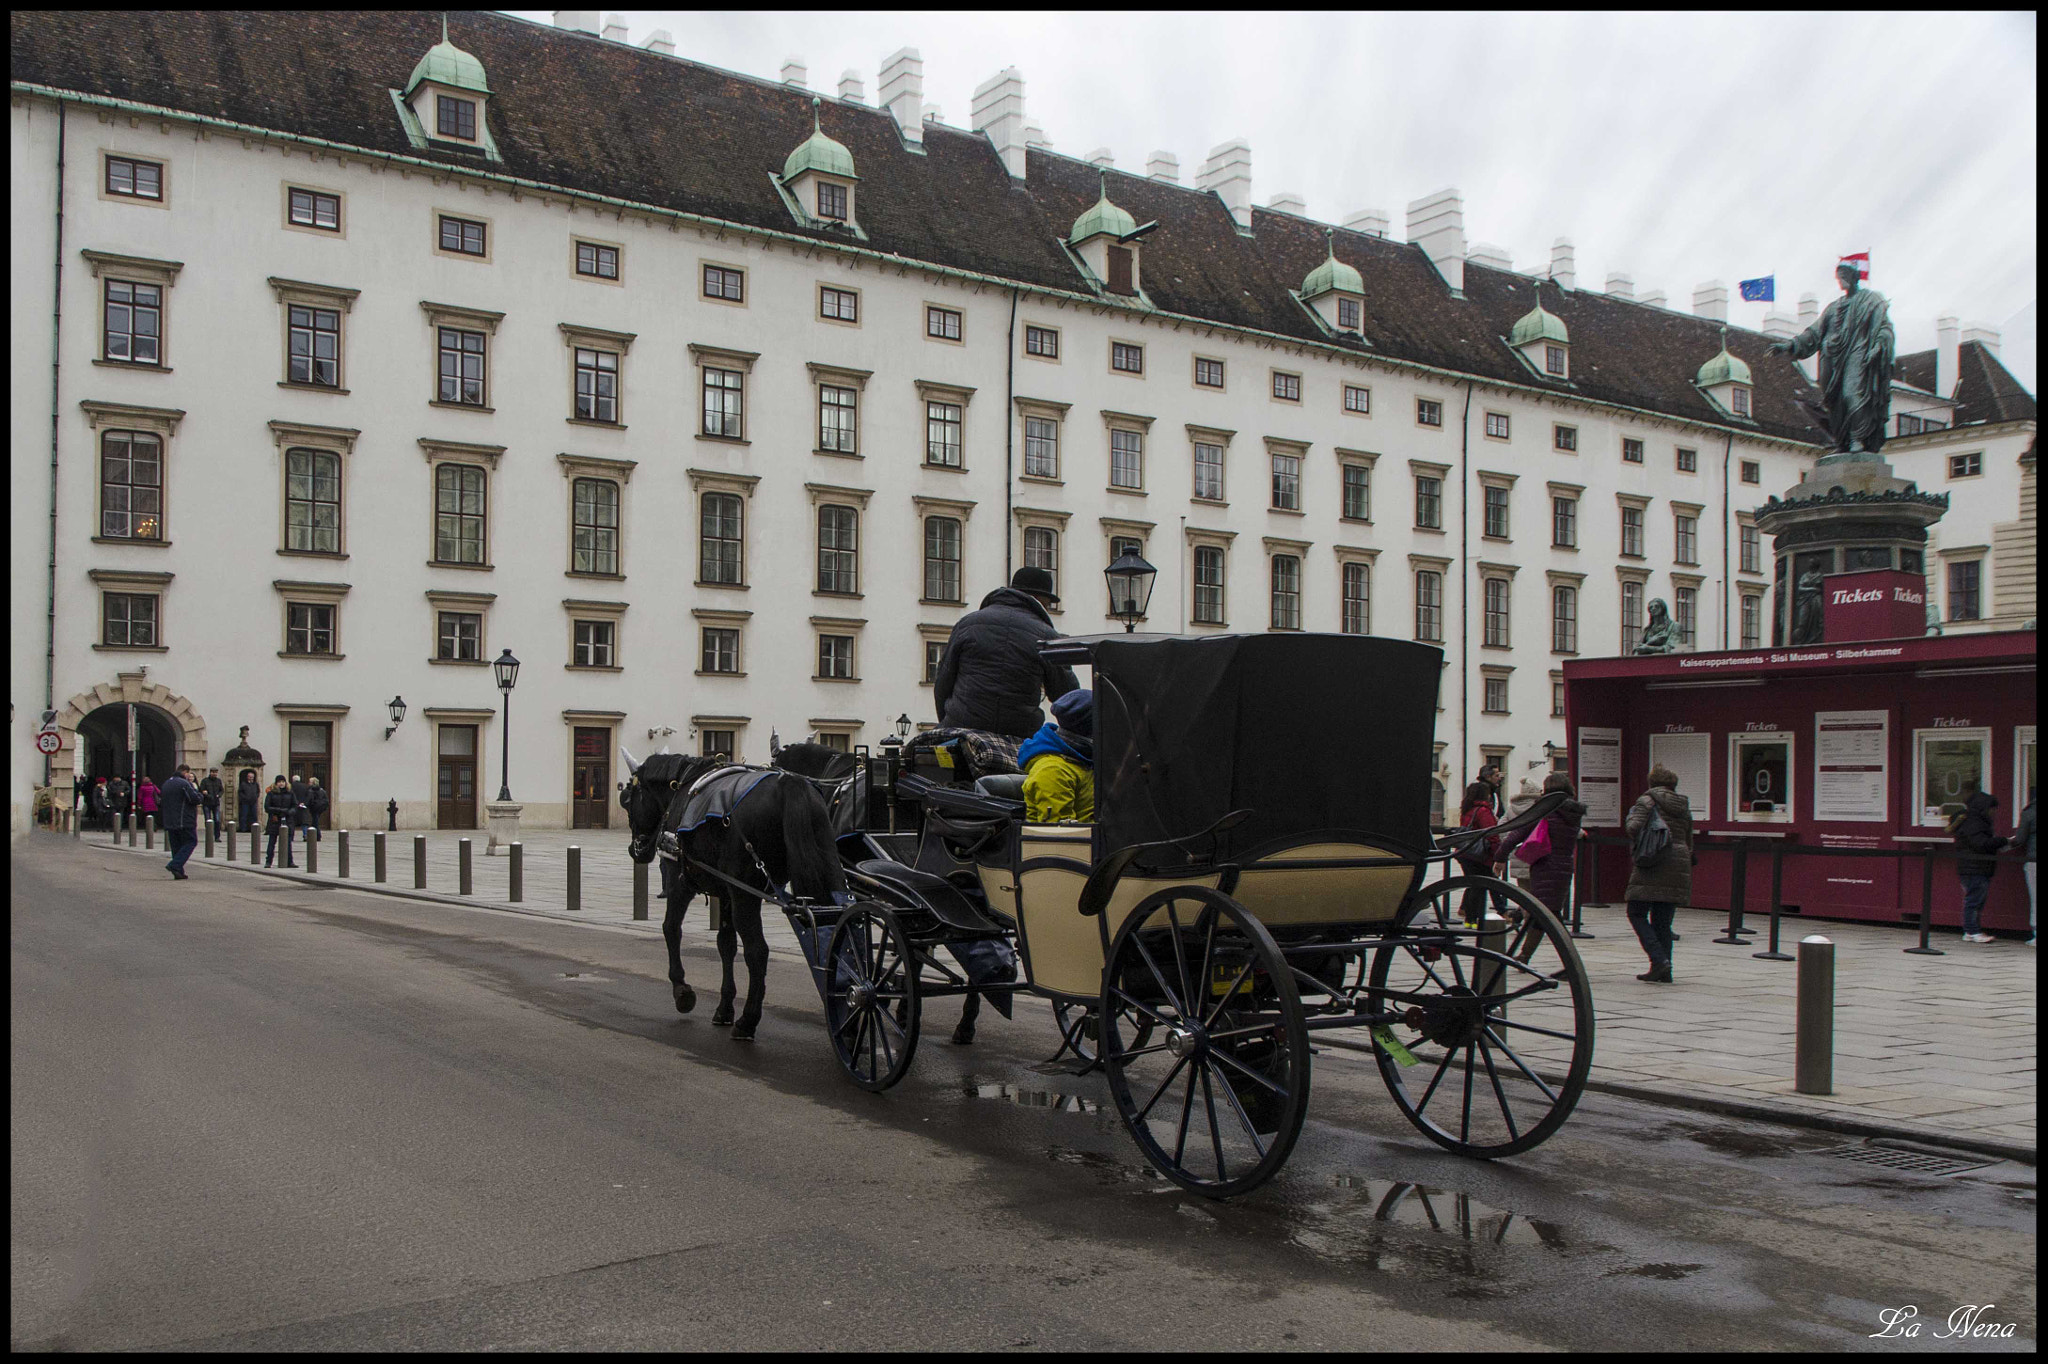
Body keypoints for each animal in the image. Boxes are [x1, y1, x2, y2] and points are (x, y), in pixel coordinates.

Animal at [622, 749, 847, 1036]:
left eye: (629, 799)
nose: (636, 850)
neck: (681, 787)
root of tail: (790, 784)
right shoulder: (727, 892)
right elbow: (726, 944)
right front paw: (725, 1006)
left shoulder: (680, 882)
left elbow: (671, 928)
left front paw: (682, 990)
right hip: (825, 871)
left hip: (745, 895)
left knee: (757, 951)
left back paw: (748, 1020)